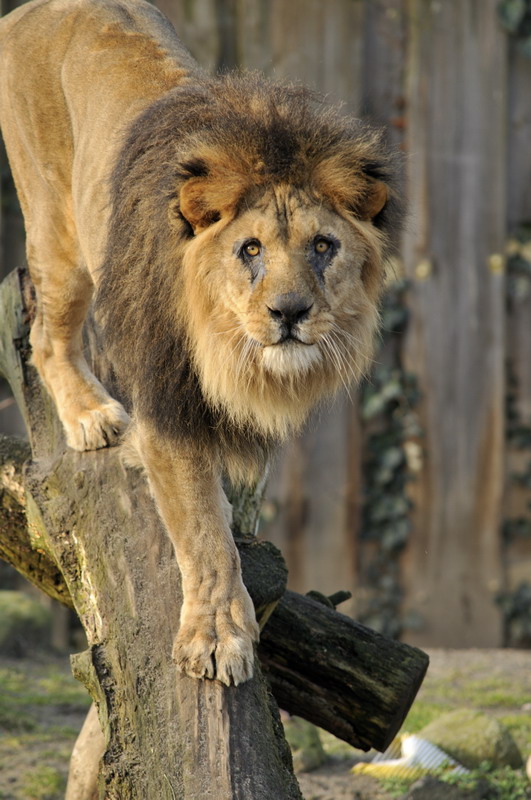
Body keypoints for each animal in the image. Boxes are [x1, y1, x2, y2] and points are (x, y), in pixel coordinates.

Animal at [0, 0, 401, 686]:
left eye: (323, 246)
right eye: (251, 250)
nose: (289, 312)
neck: (233, 352)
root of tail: (27, 12)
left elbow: (231, 497)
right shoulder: (169, 402)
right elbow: (203, 533)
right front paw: (215, 637)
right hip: (57, 228)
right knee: (48, 337)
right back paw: (92, 416)